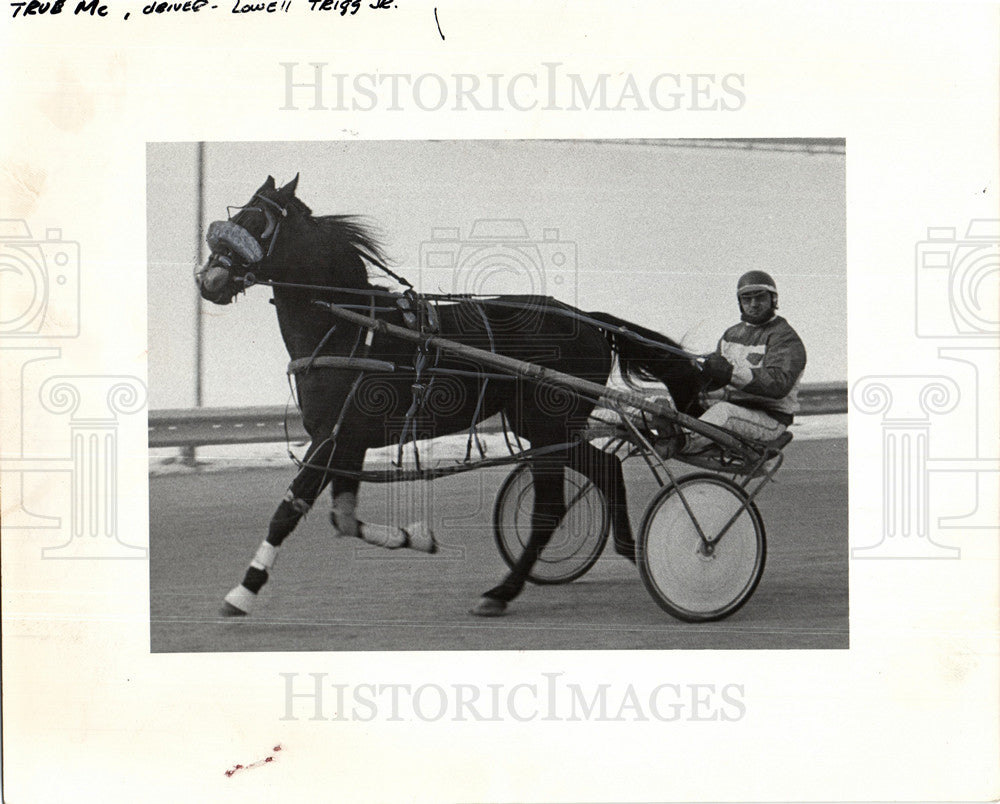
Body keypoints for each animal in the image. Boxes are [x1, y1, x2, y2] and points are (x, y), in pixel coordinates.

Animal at [193, 176, 704, 616]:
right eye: (235, 215)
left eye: (258, 222)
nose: (208, 281)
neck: (352, 325)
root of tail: (589, 320)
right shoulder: (346, 440)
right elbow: (343, 519)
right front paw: (415, 537)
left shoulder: (333, 437)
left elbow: (288, 511)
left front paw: (243, 591)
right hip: (547, 427)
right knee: (607, 468)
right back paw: (629, 549)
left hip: (546, 425)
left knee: (551, 507)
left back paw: (502, 591)